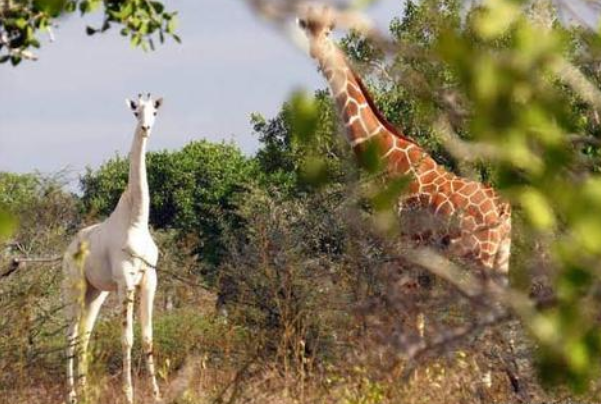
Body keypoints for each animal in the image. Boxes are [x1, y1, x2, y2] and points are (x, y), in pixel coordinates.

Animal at [62, 94, 164, 404]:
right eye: (135, 112)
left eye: (154, 112)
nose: (145, 128)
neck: (137, 221)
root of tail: (68, 249)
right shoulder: (125, 281)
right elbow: (127, 338)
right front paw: (129, 394)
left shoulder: (150, 280)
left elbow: (148, 337)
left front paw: (157, 394)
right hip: (74, 287)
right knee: (70, 335)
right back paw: (71, 393)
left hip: (96, 293)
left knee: (84, 335)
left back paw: (84, 392)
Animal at [298, 7, 508, 278]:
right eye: (307, 30)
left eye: (327, 32)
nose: (315, 52)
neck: (387, 155)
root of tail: (501, 209)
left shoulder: (402, 241)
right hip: (501, 257)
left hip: (478, 254)